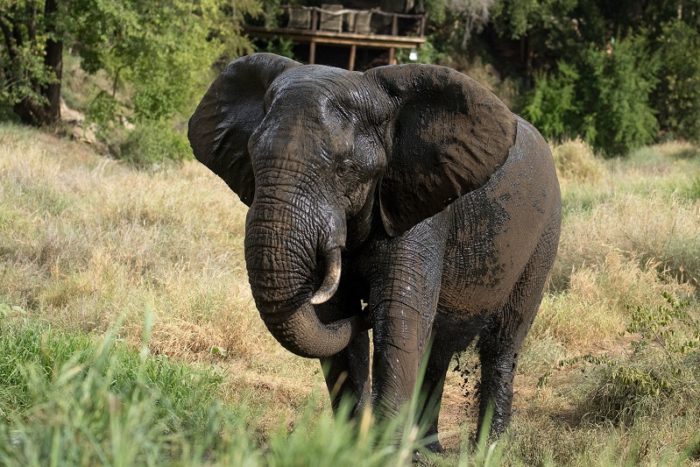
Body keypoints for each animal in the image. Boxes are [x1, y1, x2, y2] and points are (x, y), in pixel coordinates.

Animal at [188, 53, 561, 449]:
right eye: (252, 158)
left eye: (346, 169)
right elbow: (336, 318)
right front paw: (352, 449)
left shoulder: (420, 207)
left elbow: (398, 315)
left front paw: (382, 452)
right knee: (439, 347)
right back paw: (428, 450)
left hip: (544, 237)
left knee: (502, 344)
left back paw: (485, 452)